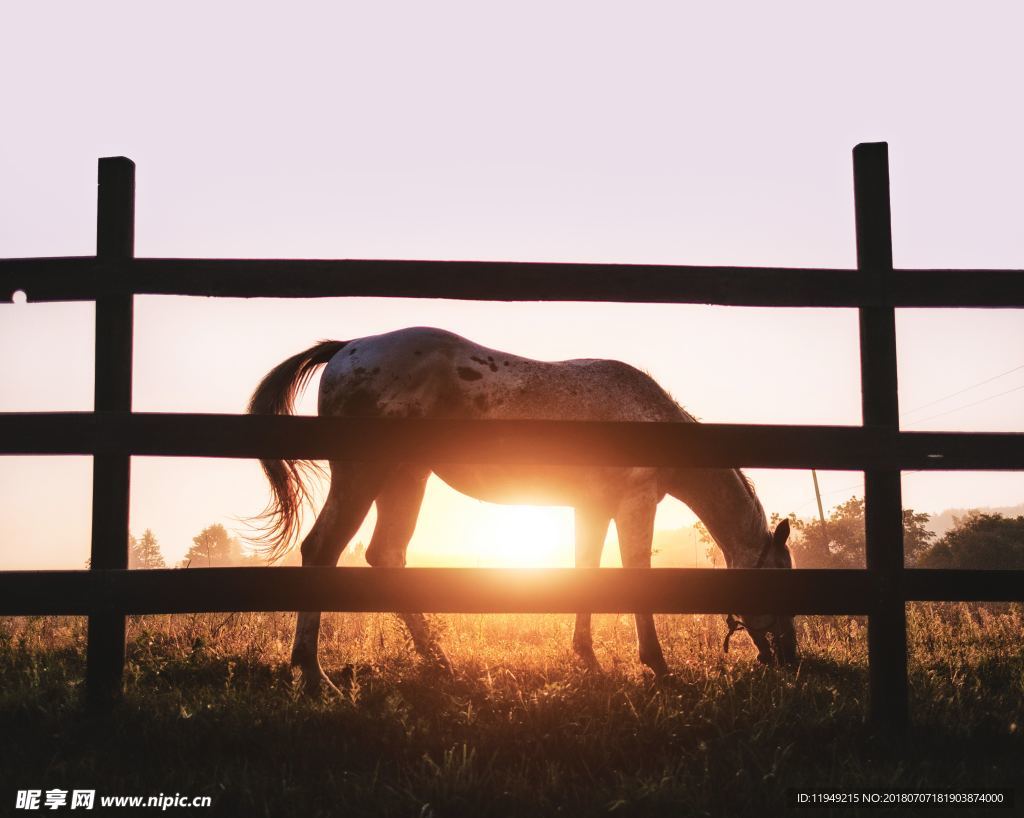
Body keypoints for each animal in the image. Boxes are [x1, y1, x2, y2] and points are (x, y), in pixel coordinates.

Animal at [247, 323, 798, 696]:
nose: (790, 659)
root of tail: (348, 349)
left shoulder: (592, 510)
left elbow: (586, 574)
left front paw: (588, 659)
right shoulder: (634, 504)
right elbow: (634, 578)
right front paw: (657, 666)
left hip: (405, 478)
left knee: (386, 555)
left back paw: (439, 663)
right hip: (363, 475)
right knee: (322, 550)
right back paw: (313, 673)